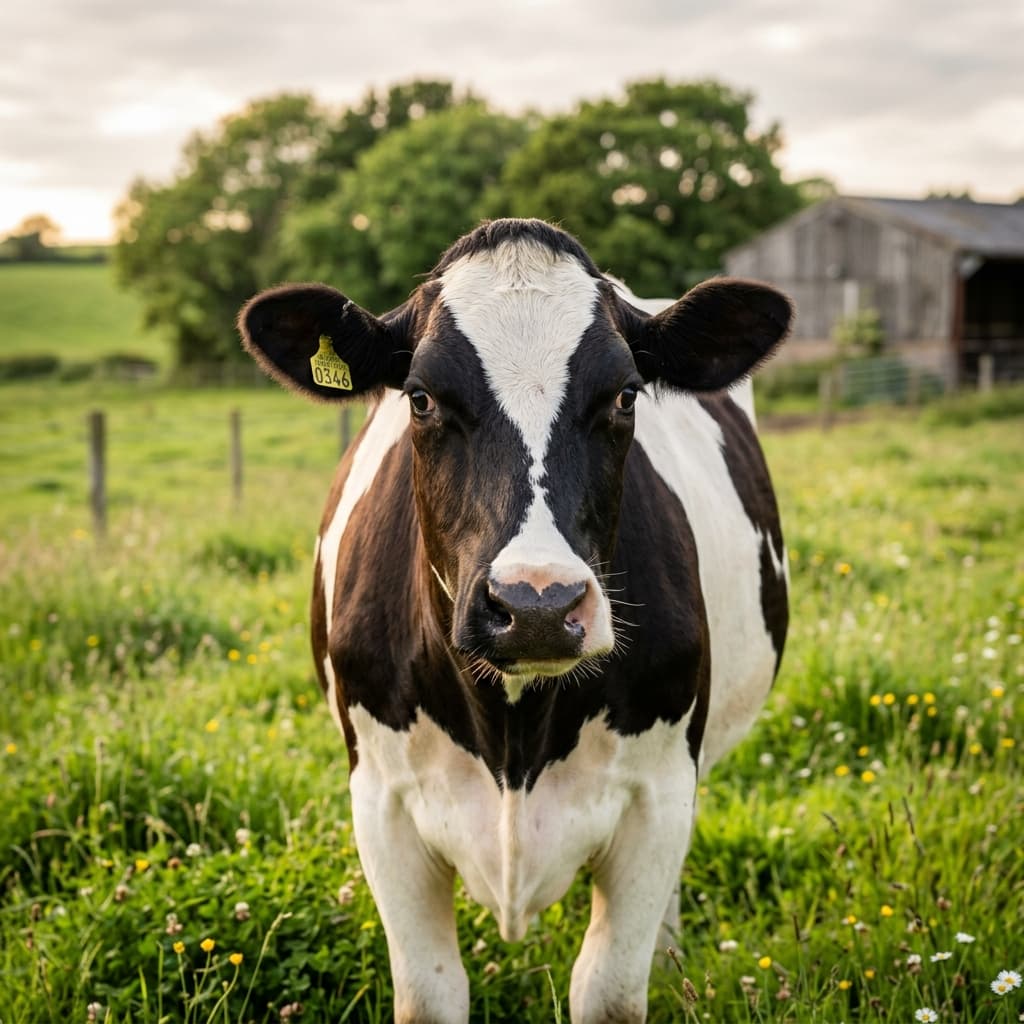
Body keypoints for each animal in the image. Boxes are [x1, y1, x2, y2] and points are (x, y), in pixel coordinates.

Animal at [238, 218, 791, 1024]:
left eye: (625, 395)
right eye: (421, 398)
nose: (537, 606)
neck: (514, 727)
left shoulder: (660, 792)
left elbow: (609, 992)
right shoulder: (381, 802)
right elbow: (431, 995)